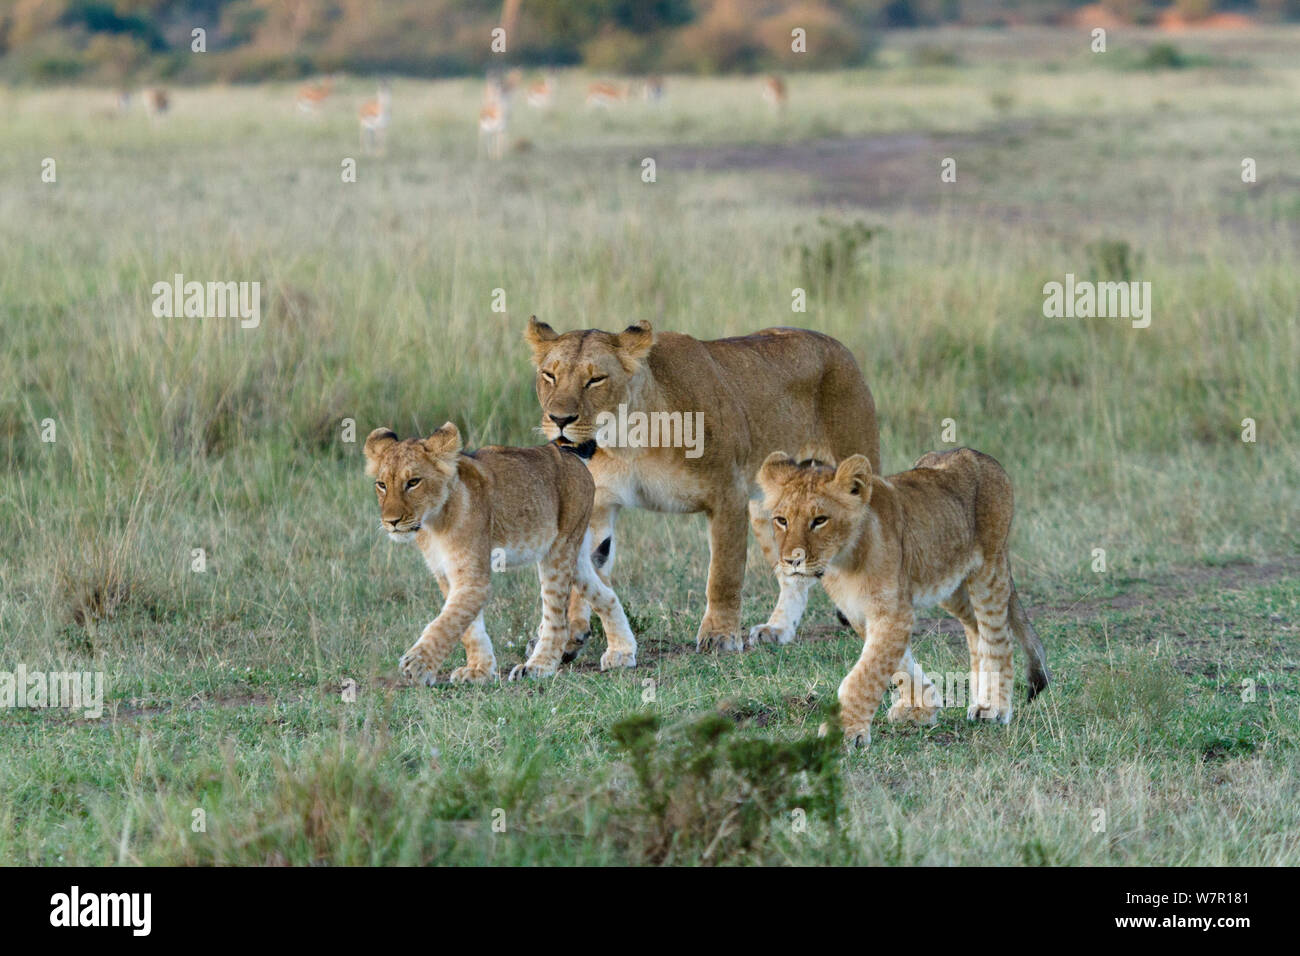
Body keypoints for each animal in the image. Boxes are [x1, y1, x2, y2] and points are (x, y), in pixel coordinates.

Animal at [363, 423, 637, 685]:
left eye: (413, 482)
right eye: (382, 485)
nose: (391, 522)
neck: (432, 524)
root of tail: (567, 453)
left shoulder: (473, 579)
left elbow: (447, 622)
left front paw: (418, 665)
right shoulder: (445, 573)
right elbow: (467, 627)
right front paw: (479, 670)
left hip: (557, 553)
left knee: (557, 620)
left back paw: (538, 667)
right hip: (575, 554)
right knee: (606, 594)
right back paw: (622, 652)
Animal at [524, 316, 879, 657]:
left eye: (595, 379)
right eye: (549, 375)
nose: (559, 419)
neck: (627, 440)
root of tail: (836, 345)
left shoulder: (728, 494)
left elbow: (723, 573)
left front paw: (720, 636)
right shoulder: (599, 505)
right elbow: (580, 574)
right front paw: (570, 634)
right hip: (770, 511)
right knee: (794, 575)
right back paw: (778, 630)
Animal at [756, 447, 1050, 747]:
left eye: (819, 520)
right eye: (782, 520)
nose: (792, 560)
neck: (843, 562)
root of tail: (978, 453)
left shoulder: (893, 612)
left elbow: (866, 673)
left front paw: (846, 731)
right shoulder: (859, 613)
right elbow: (897, 665)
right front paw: (922, 705)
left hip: (988, 571)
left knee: (998, 637)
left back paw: (993, 707)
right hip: (949, 585)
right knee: (974, 630)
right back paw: (979, 699)